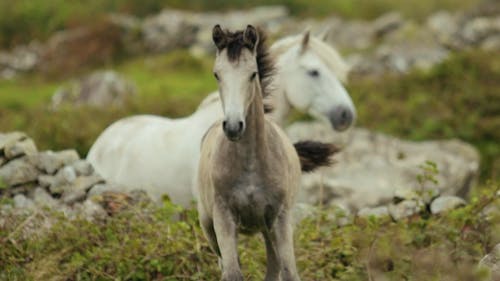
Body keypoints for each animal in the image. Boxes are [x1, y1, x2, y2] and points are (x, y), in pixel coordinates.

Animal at [197, 25, 338, 278]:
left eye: (252, 74)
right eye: (216, 74)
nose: (233, 126)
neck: (251, 164)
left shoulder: (279, 219)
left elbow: (289, 272)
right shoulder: (223, 218)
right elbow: (232, 273)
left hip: (267, 229)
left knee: (274, 268)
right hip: (208, 224)